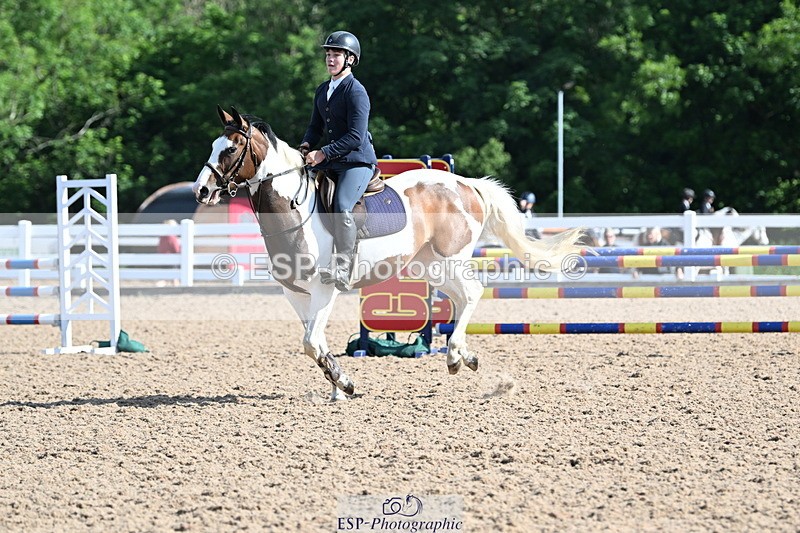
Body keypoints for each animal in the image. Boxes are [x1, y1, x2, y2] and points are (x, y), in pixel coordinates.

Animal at [192, 106, 583, 400]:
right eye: (212, 145)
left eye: (230, 149)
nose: (202, 191)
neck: (293, 209)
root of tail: (467, 184)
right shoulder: (295, 292)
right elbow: (315, 342)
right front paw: (339, 386)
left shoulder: (323, 288)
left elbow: (311, 341)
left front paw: (344, 383)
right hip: (429, 267)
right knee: (459, 298)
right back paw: (466, 357)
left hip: (451, 258)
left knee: (472, 292)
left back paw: (455, 356)